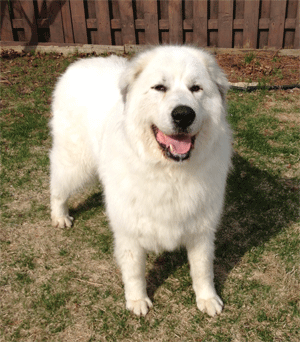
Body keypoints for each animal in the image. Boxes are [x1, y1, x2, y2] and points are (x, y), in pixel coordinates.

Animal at [49, 46, 232, 318]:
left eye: (196, 88)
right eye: (160, 88)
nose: (183, 114)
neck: (169, 172)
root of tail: (79, 64)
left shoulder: (201, 229)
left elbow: (202, 269)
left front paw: (207, 298)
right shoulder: (129, 232)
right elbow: (134, 271)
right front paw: (137, 300)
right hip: (74, 162)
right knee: (57, 184)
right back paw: (60, 216)